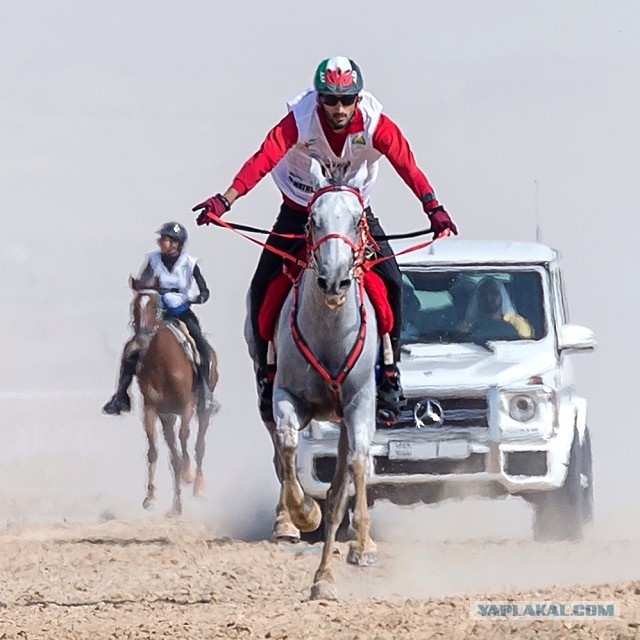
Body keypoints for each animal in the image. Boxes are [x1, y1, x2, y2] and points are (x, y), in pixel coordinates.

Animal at [130, 276, 220, 516]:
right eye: (134, 305)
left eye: (155, 305)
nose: (142, 336)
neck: (162, 363)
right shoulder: (152, 409)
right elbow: (156, 452)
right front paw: (150, 499)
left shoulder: (187, 406)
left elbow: (185, 444)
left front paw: (184, 485)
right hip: (168, 416)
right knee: (175, 449)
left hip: (202, 410)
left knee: (198, 445)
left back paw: (198, 486)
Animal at [244, 159, 376, 600]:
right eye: (312, 220)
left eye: (357, 219)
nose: (333, 281)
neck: (330, 332)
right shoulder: (286, 395)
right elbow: (287, 447)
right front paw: (303, 514)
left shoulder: (359, 402)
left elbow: (357, 464)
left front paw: (362, 547)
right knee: (279, 456)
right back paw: (293, 531)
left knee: (342, 482)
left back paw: (328, 574)